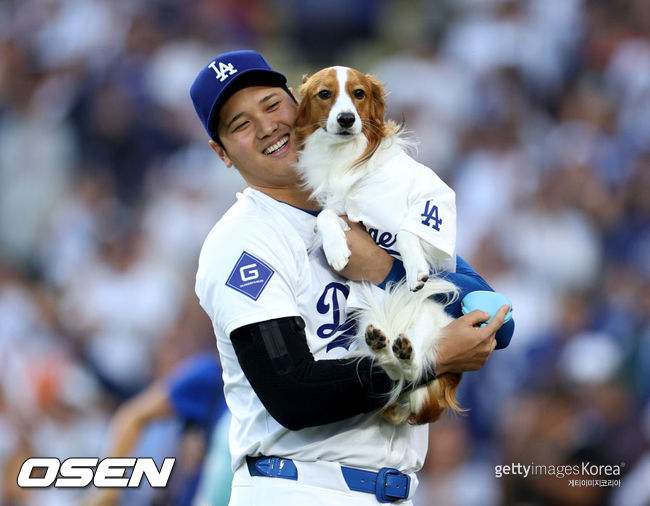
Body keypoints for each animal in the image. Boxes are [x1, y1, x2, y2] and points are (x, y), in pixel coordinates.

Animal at [294, 66, 460, 422]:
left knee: (412, 368)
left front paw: (415, 270)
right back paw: (381, 346)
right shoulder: (339, 207)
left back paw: (402, 350)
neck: (347, 158)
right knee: (389, 368)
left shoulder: (432, 202)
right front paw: (337, 250)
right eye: (324, 94)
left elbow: (408, 230)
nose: (346, 119)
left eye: (359, 93)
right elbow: (325, 216)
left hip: (429, 320)